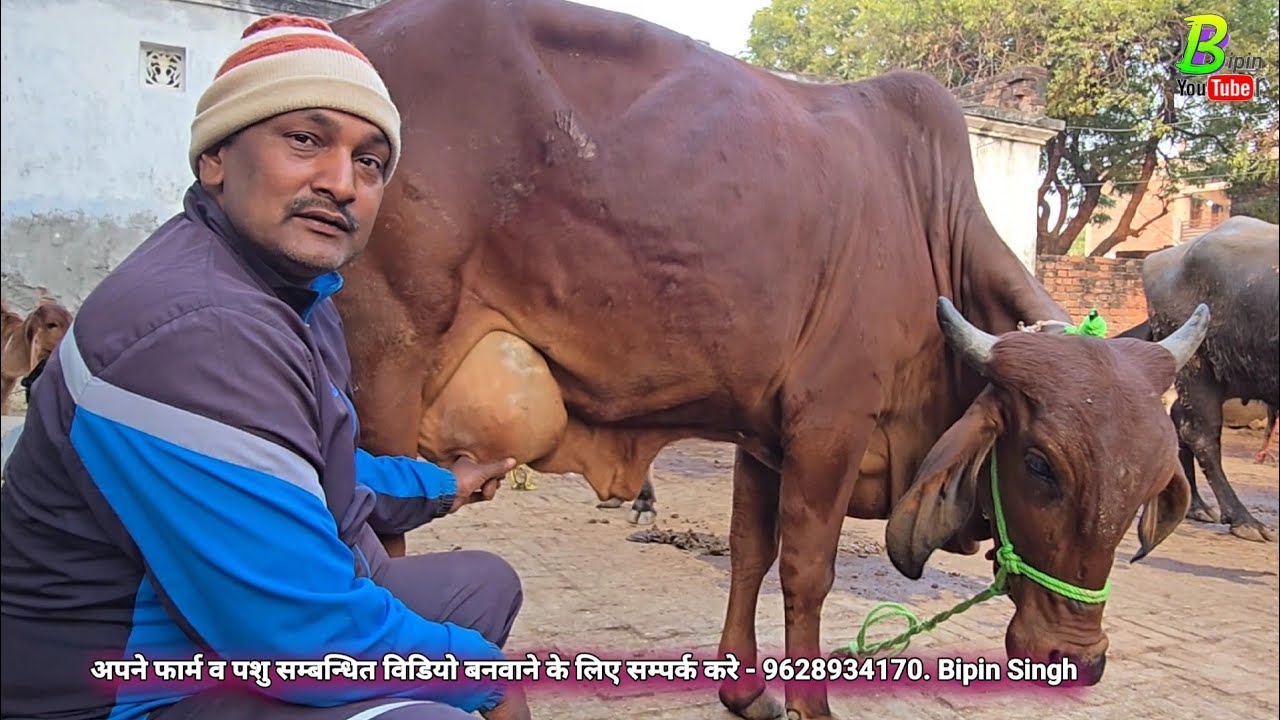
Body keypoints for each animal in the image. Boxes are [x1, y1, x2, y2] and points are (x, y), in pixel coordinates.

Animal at [329, 1, 1210, 717]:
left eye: (1149, 480)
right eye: (1038, 466)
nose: (1077, 659)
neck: (929, 226)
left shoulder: (764, 436)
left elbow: (750, 552)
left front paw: (745, 690)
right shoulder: (829, 424)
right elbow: (806, 571)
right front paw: (809, 705)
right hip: (384, 371)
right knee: (378, 542)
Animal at [1117, 216, 1278, 543]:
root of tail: (1160, 258)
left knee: (1180, 418)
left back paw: (1197, 505)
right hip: (1198, 367)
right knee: (1199, 433)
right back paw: (1244, 520)